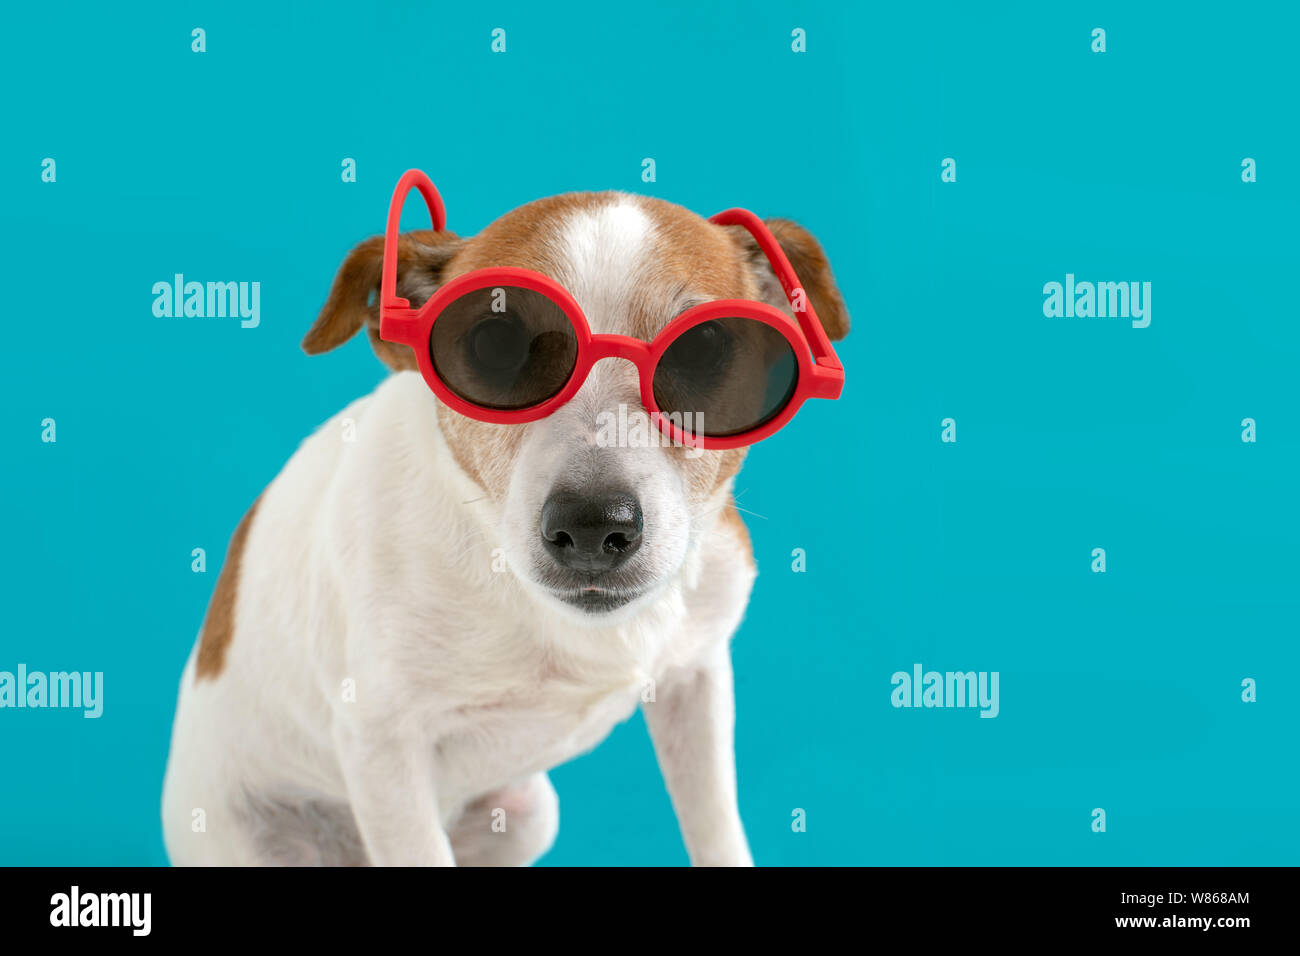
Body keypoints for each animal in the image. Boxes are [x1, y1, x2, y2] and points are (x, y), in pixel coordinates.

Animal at [162, 187, 847, 868]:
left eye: (704, 347)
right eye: (495, 346)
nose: (593, 526)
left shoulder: (695, 680)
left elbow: (716, 832)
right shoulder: (383, 749)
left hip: (524, 815)